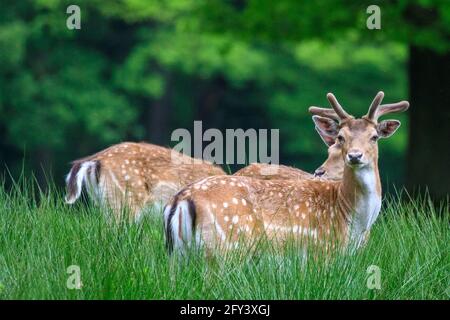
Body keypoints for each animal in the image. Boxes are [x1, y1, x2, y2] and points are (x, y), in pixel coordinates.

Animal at [164, 91, 408, 254]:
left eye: (374, 136)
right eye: (340, 138)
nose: (355, 156)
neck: (356, 221)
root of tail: (179, 200)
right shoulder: (323, 251)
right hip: (224, 245)